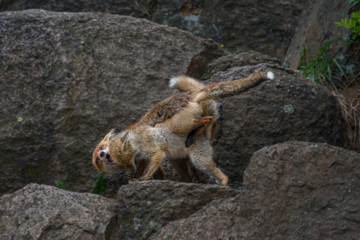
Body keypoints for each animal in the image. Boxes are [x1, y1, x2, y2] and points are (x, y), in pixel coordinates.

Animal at [91, 71, 274, 186]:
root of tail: (191, 96)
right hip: (178, 159)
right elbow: (153, 171)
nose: (102, 154)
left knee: (207, 122)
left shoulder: (153, 151)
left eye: (102, 148)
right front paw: (139, 178)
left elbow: (150, 167)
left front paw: (141, 179)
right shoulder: (145, 159)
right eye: (98, 161)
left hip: (187, 139)